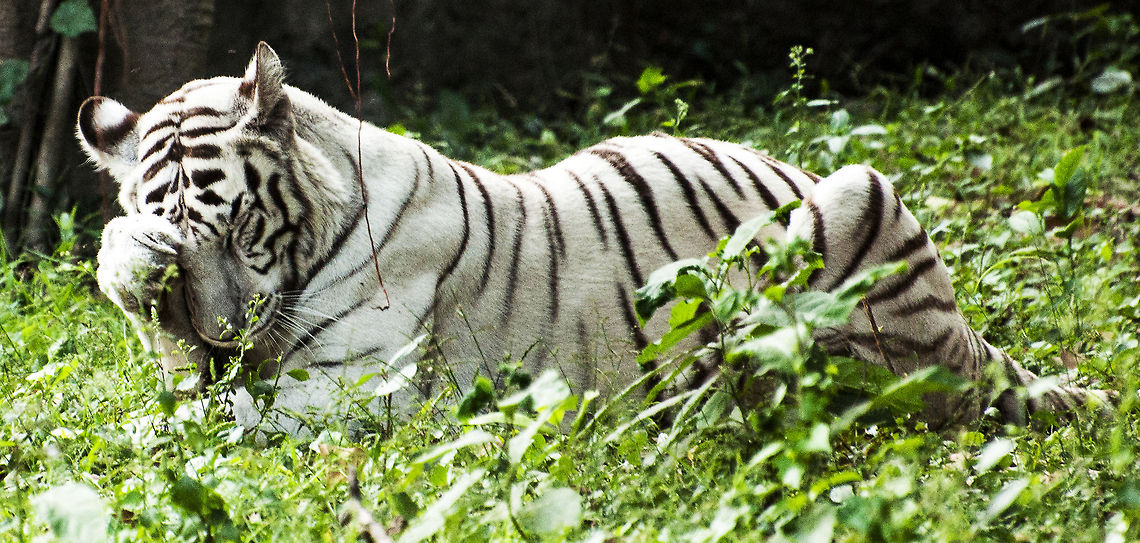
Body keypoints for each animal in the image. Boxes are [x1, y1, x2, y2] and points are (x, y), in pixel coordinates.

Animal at [77, 42, 1105, 434]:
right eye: (185, 250)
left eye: (242, 225)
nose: (224, 336)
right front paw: (131, 257)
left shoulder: (352, 394)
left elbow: (196, 424)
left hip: (862, 198)